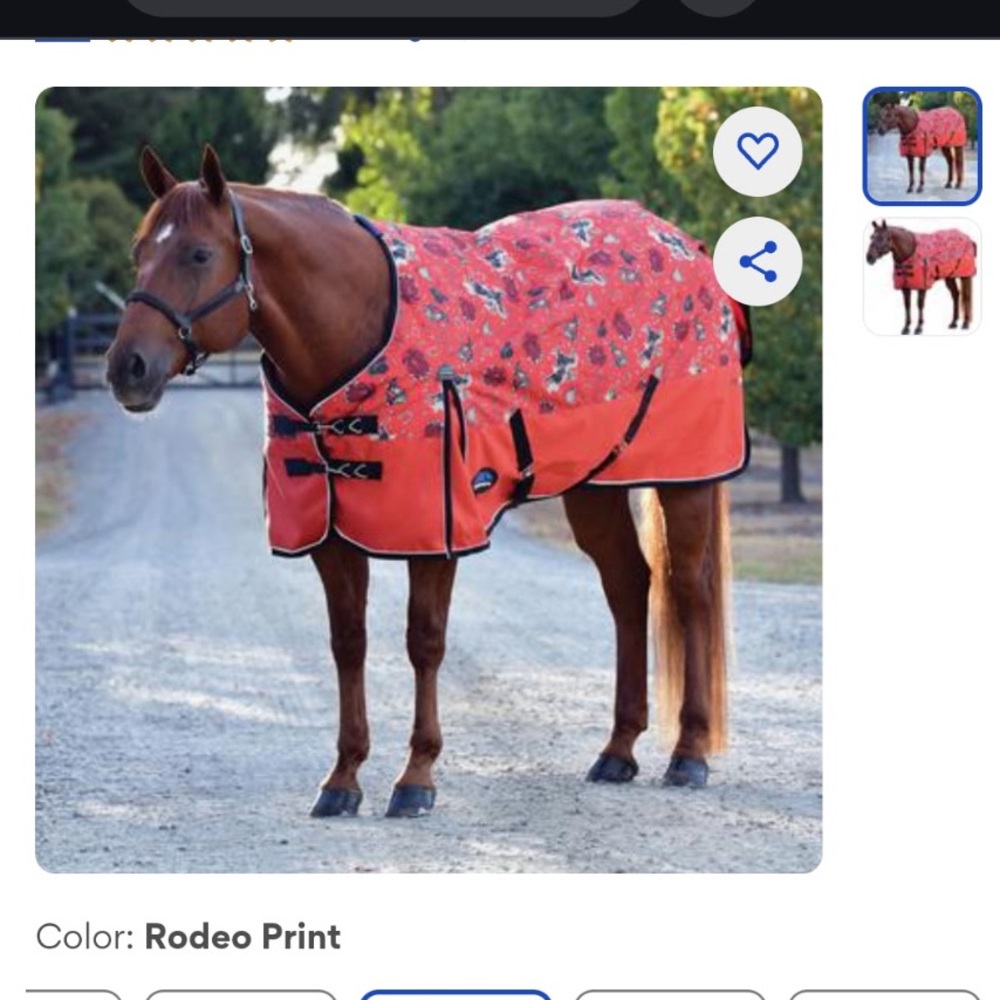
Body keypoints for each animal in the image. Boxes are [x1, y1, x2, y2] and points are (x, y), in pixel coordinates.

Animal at [106, 144, 752, 819]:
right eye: (139, 250)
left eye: (199, 254)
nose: (127, 368)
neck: (359, 327)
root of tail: (685, 246)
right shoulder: (331, 536)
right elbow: (349, 643)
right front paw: (342, 779)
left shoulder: (435, 534)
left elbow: (425, 641)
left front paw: (415, 777)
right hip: (592, 488)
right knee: (629, 587)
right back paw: (618, 750)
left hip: (683, 479)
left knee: (689, 592)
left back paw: (689, 753)